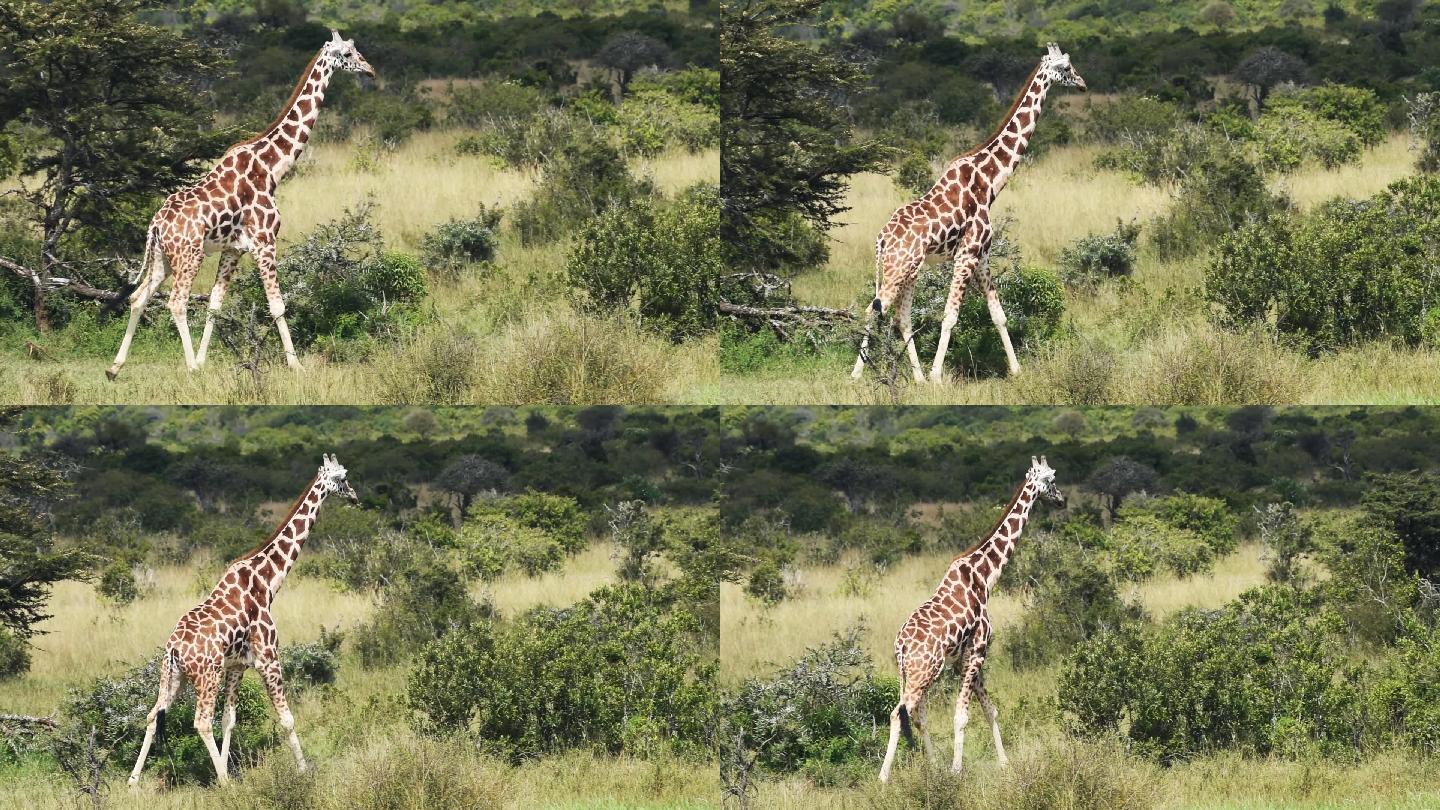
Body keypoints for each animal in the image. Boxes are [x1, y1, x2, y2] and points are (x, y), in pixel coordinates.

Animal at [106, 33, 377, 380]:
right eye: (347, 54)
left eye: (356, 49)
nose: (370, 70)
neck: (273, 168)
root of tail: (155, 224)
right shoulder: (264, 241)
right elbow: (277, 305)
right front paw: (296, 365)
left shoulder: (233, 249)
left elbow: (215, 304)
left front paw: (205, 360)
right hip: (189, 255)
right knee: (176, 302)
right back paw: (189, 367)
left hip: (162, 258)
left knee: (138, 298)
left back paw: (115, 367)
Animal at [128, 455, 358, 784]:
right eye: (342, 477)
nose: (354, 496)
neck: (267, 582)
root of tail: (173, 649)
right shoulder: (268, 658)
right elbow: (287, 719)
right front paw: (303, 770)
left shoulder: (237, 665)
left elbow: (229, 720)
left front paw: (229, 767)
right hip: (206, 676)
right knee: (201, 721)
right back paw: (223, 784)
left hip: (173, 677)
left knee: (152, 714)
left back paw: (133, 782)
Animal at [852, 42, 1082, 383]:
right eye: (1065, 67)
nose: (1082, 83)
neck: (989, 182)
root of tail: (880, 241)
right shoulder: (967, 253)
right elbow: (950, 315)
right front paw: (938, 376)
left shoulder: (982, 255)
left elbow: (998, 314)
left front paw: (1016, 370)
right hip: (898, 269)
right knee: (874, 310)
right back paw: (858, 375)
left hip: (909, 270)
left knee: (898, 316)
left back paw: (916, 378)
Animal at [869, 455, 1065, 778]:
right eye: (1052, 478)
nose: (1062, 499)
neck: (985, 577)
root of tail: (902, 646)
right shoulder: (978, 650)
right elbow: (962, 715)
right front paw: (956, 770)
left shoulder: (965, 659)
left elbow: (990, 709)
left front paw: (1004, 763)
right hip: (924, 672)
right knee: (899, 714)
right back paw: (884, 777)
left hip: (911, 673)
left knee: (916, 714)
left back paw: (932, 766)